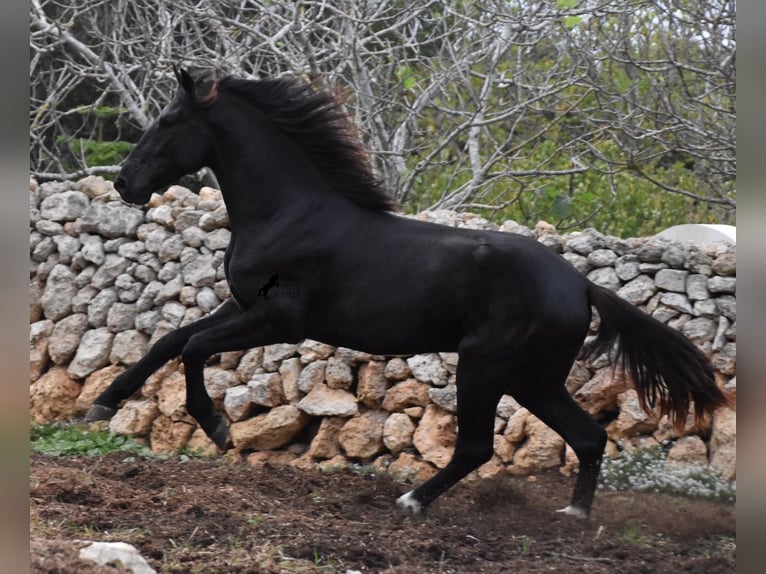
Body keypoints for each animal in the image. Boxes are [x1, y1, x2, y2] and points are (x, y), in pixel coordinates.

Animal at [87, 67, 728, 516]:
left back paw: (412, 501)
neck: (289, 213)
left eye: (169, 122)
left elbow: (194, 349)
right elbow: (169, 341)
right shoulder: (243, 306)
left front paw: (215, 426)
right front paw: (105, 402)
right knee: (590, 436)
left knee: (478, 447)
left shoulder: (279, 320)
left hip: (485, 367)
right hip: (532, 378)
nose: (124, 182)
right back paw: (572, 516)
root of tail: (581, 285)